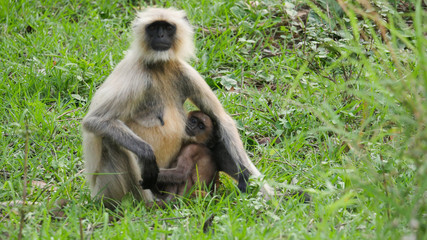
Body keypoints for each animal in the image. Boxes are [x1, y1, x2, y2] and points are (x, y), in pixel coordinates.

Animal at [82, 7, 272, 206]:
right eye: (153, 27)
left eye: (167, 27)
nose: (160, 35)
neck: (159, 66)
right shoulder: (136, 76)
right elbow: (95, 120)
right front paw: (147, 154)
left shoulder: (184, 71)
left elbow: (221, 119)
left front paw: (255, 184)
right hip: (109, 191)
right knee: (110, 140)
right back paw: (153, 204)